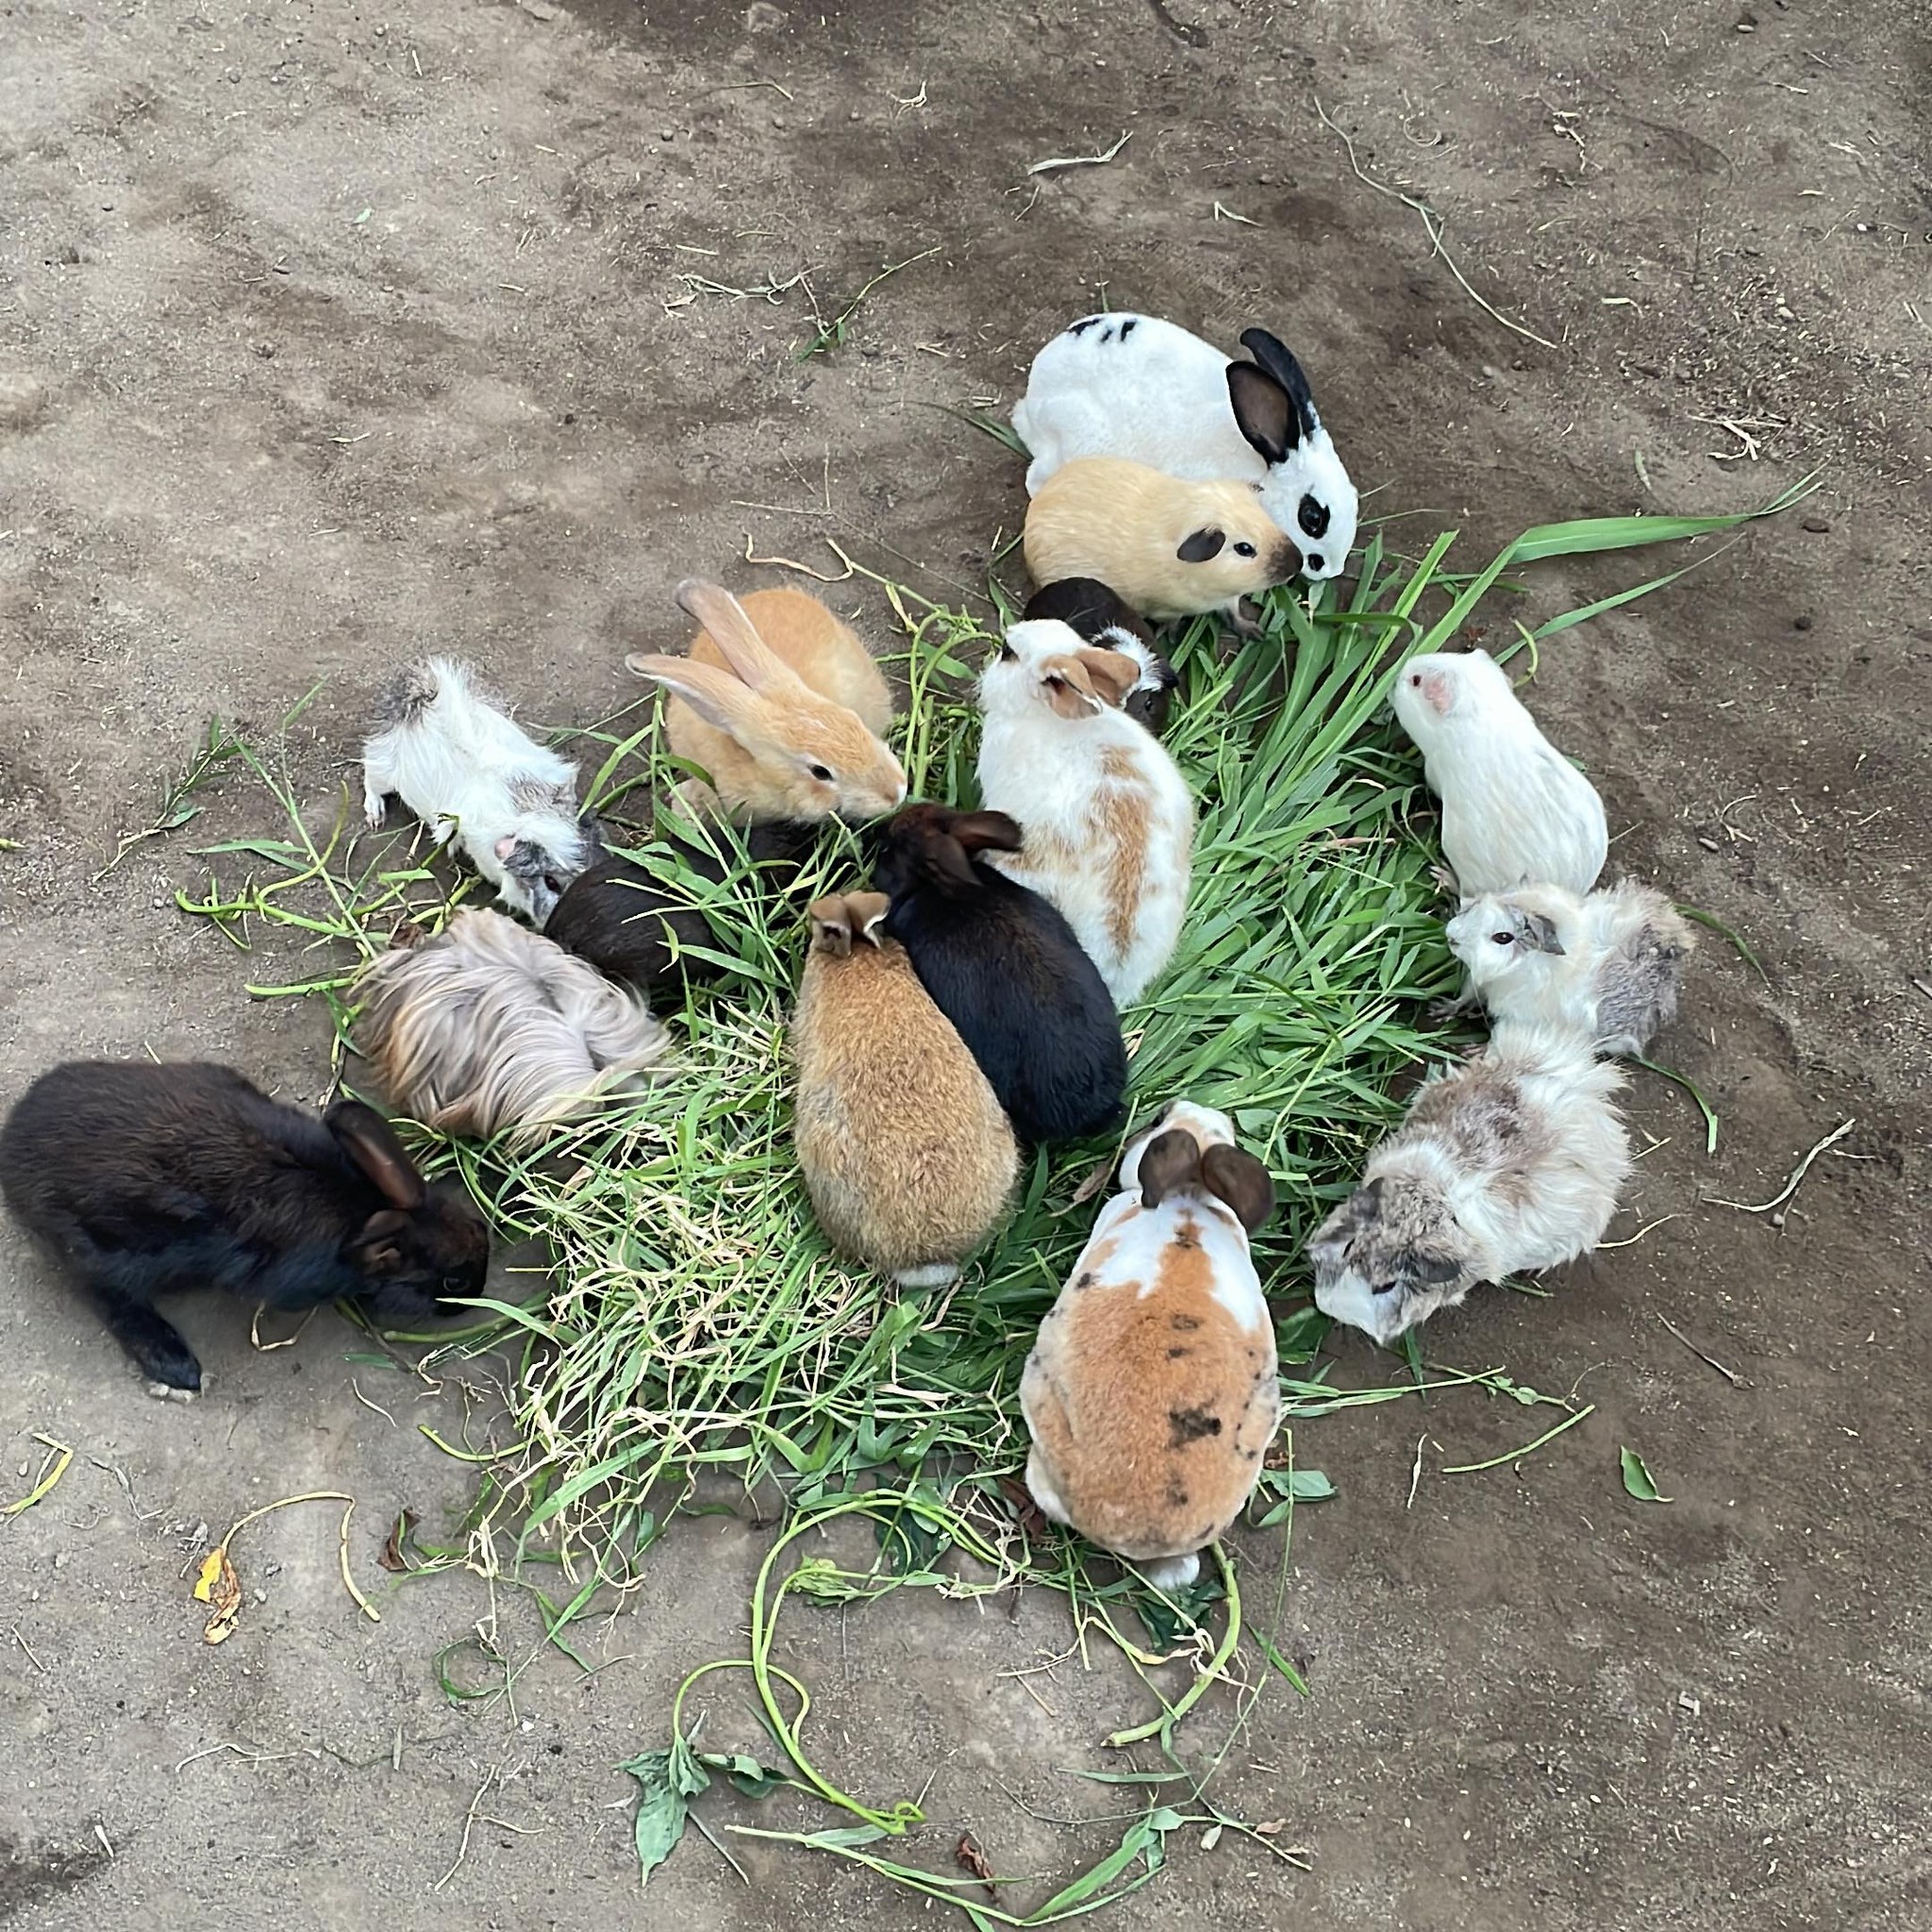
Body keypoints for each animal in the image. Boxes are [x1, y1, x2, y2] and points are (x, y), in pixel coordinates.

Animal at [0, 1060, 490, 1395]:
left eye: (478, 1228)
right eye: (453, 1280)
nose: (476, 1294)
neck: (360, 1206)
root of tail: (14, 1146)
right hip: (111, 1249)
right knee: (104, 1293)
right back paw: (176, 1365)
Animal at [1023, 458, 1302, 627]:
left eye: (1266, 517)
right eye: (1244, 548)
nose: (1297, 563)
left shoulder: (1229, 597)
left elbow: (1235, 610)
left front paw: (1256, 633)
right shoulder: (1166, 608)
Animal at [1446, 878, 1697, 1059]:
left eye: (1503, 937)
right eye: (1475, 906)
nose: (1450, 936)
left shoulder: (1518, 1020)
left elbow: (1495, 1039)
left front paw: (1472, 1050)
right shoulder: (1479, 984)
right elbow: (1465, 995)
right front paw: (1443, 1009)